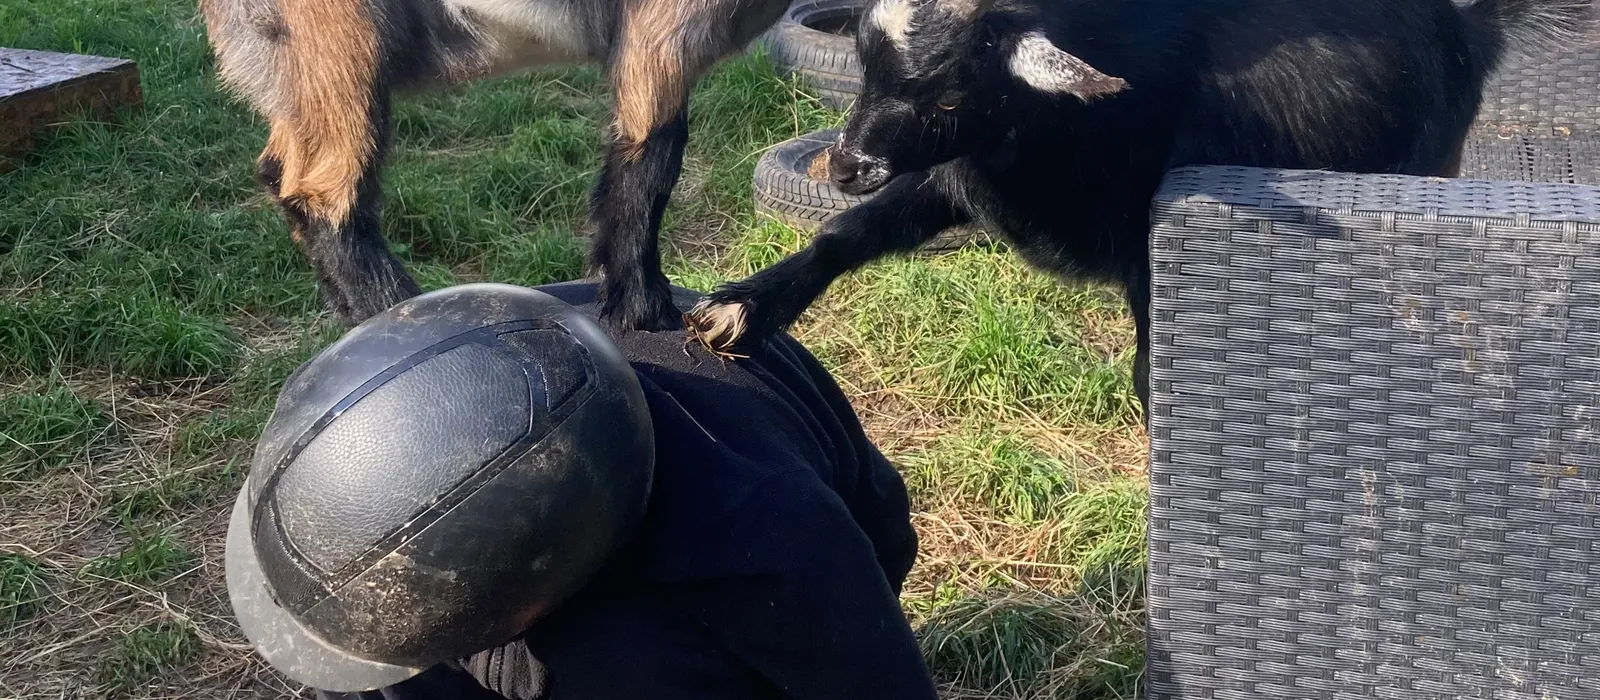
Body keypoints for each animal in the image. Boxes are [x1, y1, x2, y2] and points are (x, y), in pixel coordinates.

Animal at [200, 0, 793, 330]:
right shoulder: (662, 38)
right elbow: (651, 163)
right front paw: (646, 310)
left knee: (280, 173)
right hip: (339, 46)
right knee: (323, 193)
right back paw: (403, 313)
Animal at [685, 0, 1594, 414]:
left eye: (949, 92)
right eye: (866, 64)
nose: (845, 164)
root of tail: (1467, 19)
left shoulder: (1151, 253)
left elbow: (1153, 373)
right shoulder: (955, 181)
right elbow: (847, 236)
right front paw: (742, 307)